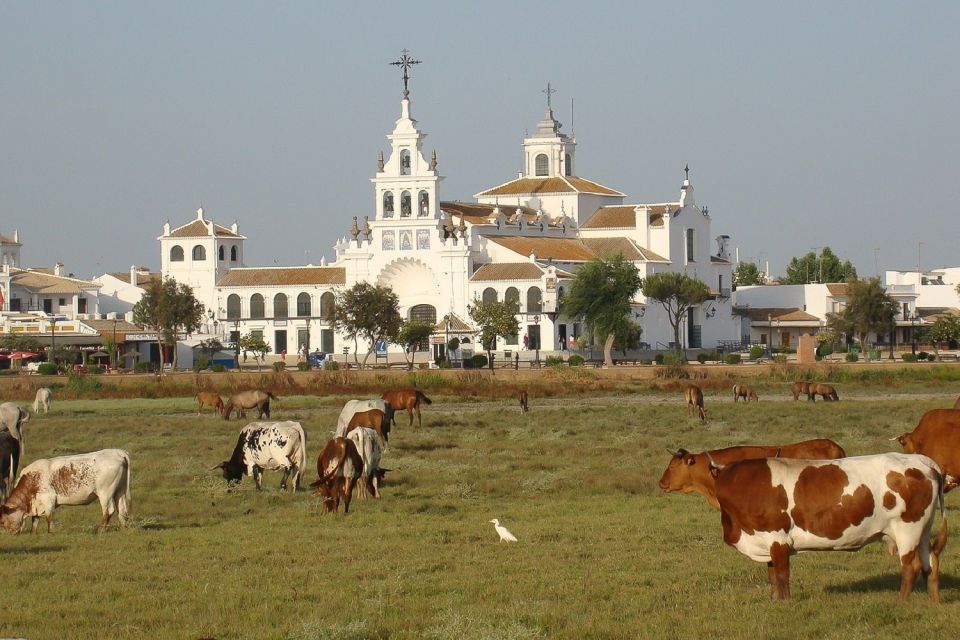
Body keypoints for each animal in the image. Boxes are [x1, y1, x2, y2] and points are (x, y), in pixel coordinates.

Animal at [0, 448, 130, 532]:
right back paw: (123, 528)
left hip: (105, 493)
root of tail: (118, 452)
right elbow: (35, 521)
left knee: (109, 510)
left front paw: (51, 533)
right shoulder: (37, 503)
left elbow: (49, 518)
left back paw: (100, 530)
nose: (11, 533)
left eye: (2, 522)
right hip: (120, 490)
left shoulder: (48, 500)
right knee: (122, 510)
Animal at [712, 452, 944, 604]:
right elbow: (772, 576)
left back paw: (901, 602)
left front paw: (785, 604)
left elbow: (781, 576)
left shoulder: (778, 538)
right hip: (923, 530)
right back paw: (934, 602)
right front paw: (774, 602)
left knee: (910, 567)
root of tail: (920, 460)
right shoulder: (766, 540)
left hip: (908, 528)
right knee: (930, 562)